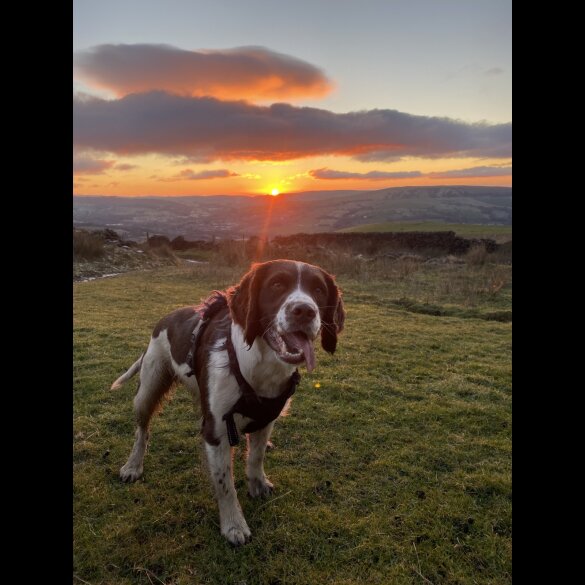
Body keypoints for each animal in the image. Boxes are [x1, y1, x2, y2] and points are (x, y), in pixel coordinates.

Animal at [110, 258, 342, 544]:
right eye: (277, 284)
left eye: (318, 290)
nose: (305, 311)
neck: (256, 366)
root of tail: (168, 316)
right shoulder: (217, 431)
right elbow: (224, 483)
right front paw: (233, 524)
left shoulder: (265, 419)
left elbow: (255, 457)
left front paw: (257, 484)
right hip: (148, 389)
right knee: (142, 431)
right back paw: (133, 465)